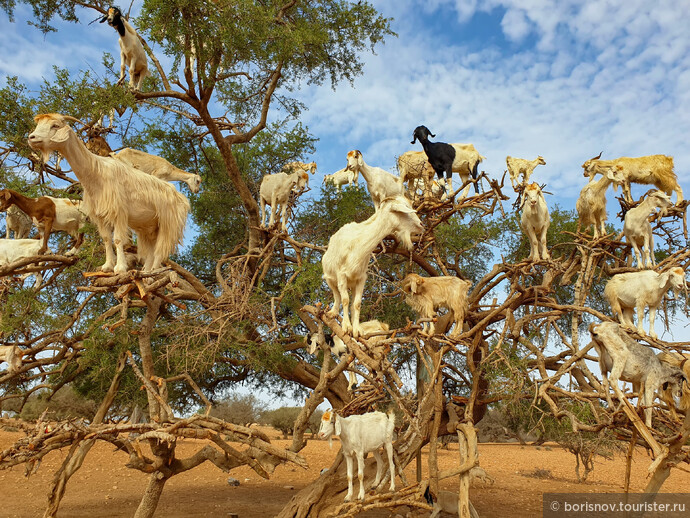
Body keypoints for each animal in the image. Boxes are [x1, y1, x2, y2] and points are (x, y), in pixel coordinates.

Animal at [27, 113, 189, 274]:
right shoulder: (100, 215)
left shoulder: (118, 212)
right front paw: (107, 266)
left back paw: (155, 268)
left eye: (55, 125)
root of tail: (182, 198)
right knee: (151, 248)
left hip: (168, 223)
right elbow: (106, 238)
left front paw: (120, 267)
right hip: (148, 227)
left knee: (161, 248)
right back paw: (146, 271)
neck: (97, 170)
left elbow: (117, 239)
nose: (32, 137)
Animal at [324, 197, 424, 340]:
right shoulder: (341, 275)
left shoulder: (361, 278)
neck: (358, 244)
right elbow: (345, 299)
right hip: (329, 278)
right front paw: (346, 327)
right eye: (405, 208)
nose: (421, 225)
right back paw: (333, 313)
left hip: (352, 283)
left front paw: (357, 330)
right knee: (336, 294)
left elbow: (357, 304)